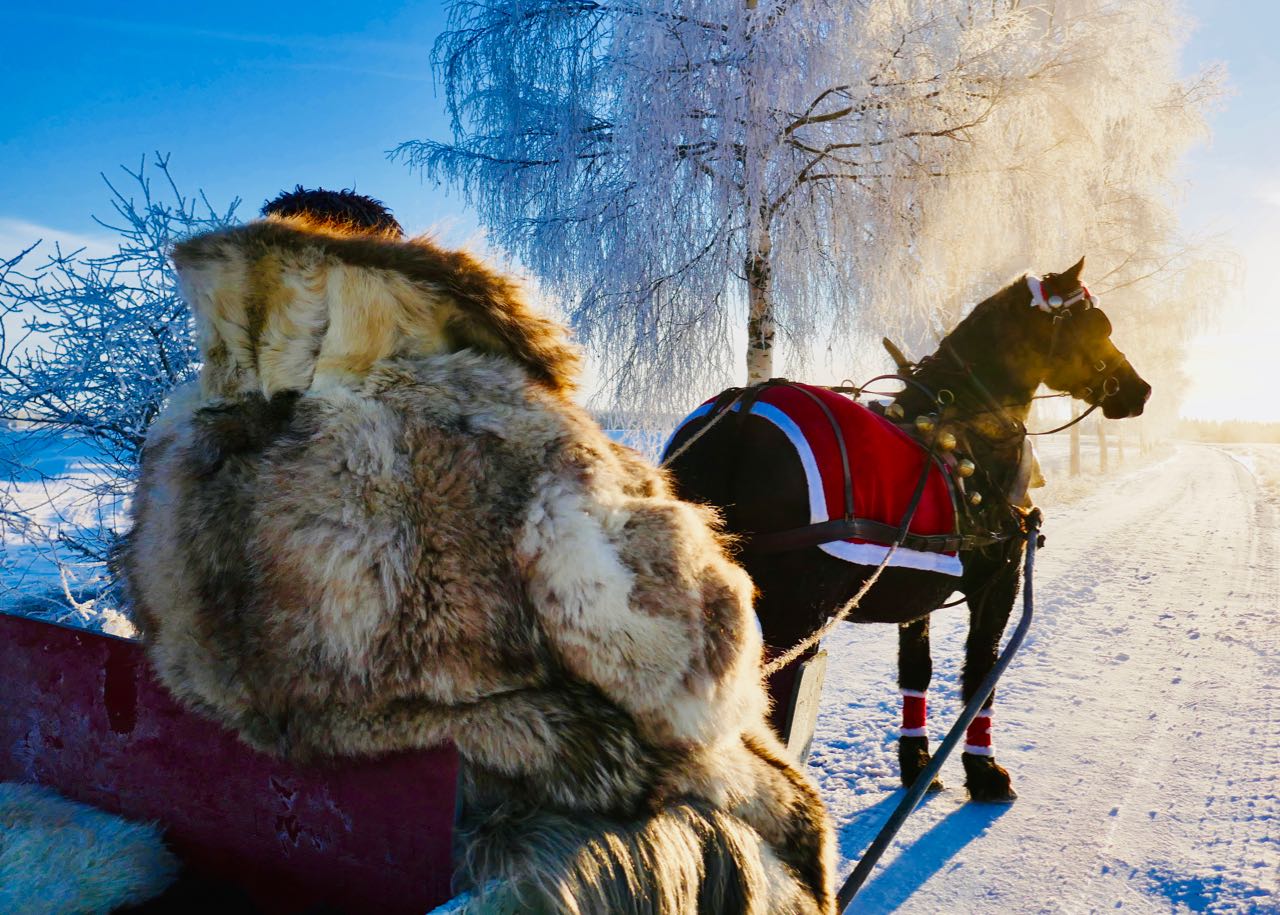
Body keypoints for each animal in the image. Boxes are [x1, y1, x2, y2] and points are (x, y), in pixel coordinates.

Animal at [665, 259, 1157, 803]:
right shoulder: (997, 581)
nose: (1140, 390)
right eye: (1097, 327)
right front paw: (983, 770)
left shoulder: (919, 581)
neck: (969, 432)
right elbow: (980, 672)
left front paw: (917, 762)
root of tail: (741, 411)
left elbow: (916, 671)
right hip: (796, 617)